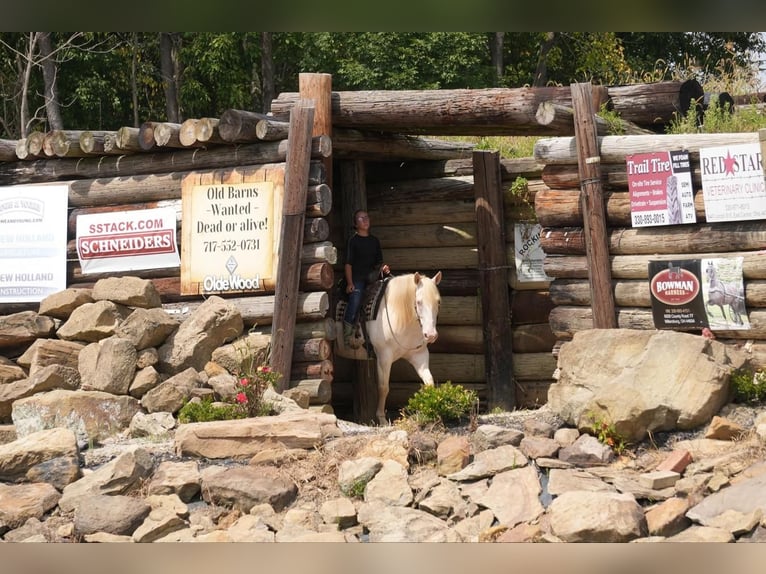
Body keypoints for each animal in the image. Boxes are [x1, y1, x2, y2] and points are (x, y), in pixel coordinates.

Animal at [366, 272, 444, 426]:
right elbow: (383, 387)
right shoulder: (384, 358)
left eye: (438, 302)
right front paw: (382, 419)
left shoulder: (419, 356)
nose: (431, 335)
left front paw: (431, 410)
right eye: (419, 302)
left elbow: (429, 382)